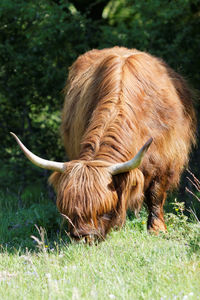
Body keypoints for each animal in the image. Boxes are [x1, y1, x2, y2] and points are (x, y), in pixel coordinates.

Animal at [10, 45, 195, 241]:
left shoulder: (165, 162)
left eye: (103, 209)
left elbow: (155, 195)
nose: (83, 237)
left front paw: (157, 229)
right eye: (67, 210)